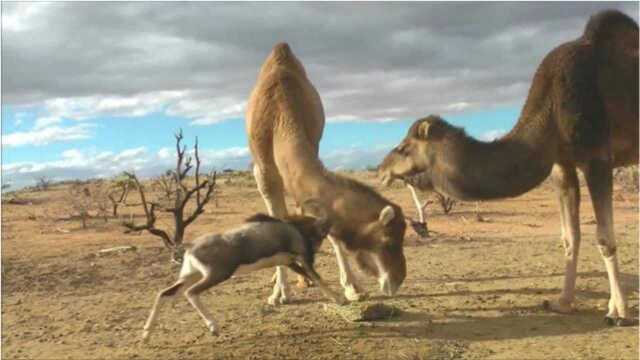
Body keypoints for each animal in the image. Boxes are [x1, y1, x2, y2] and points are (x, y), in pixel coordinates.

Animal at [141, 204, 344, 342]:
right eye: (322, 234)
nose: (315, 251)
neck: (291, 228)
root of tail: (190, 248)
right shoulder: (302, 260)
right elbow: (318, 278)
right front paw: (341, 299)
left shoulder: (289, 263)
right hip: (216, 276)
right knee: (190, 293)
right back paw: (214, 327)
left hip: (191, 276)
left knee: (164, 294)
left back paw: (146, 334)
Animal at [248, 43, 408, 306]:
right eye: (388, 240)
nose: (398, 280)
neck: (279, 114)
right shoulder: (263, 172)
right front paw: (279, 294)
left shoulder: (312, 142)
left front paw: (353, 288)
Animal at [378, 9, 636, 324]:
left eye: (404, 148)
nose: (381, 170)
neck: (550, 108)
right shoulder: (561, 165)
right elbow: (569, 237)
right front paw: (563, 302)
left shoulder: (597, 157)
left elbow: (605, 238)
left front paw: (618, 311)